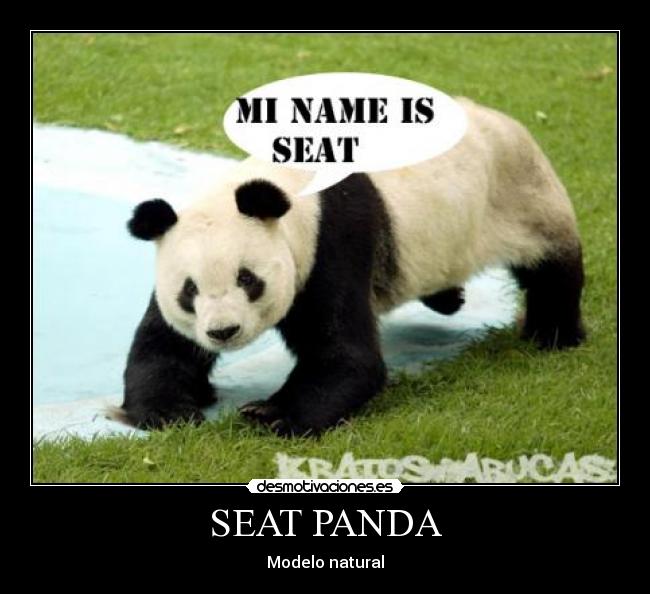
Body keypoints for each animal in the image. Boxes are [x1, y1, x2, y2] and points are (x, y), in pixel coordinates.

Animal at [121, 97, 585, 435]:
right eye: (189, 290)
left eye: (248, 279)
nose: (222, 332)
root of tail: (499, 116)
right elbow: (163, 344)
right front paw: (171, 411)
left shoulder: (332, 243)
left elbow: (346, 356)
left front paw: (270, 414)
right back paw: (448, 297)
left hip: (521, 196)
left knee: (553, 267)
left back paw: (553, 334)